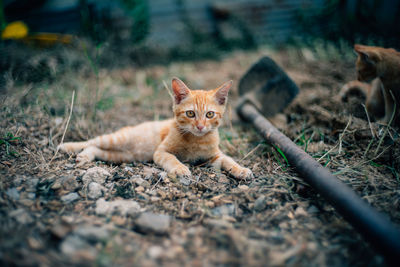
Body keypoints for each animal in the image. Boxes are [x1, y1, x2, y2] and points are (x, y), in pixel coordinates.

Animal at [58, 78, 253, 181]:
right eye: (190, 113)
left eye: (210, 114)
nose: (200, 126)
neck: (196, 140)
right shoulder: (160, 152)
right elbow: (172, 159)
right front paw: (180, 168)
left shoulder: (214, 156)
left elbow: (228, 160)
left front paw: (241, 169)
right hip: (118, 139)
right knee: (91, 141)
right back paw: (68, 147)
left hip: (120, 156)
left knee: (96, 148)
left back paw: (85, 156)